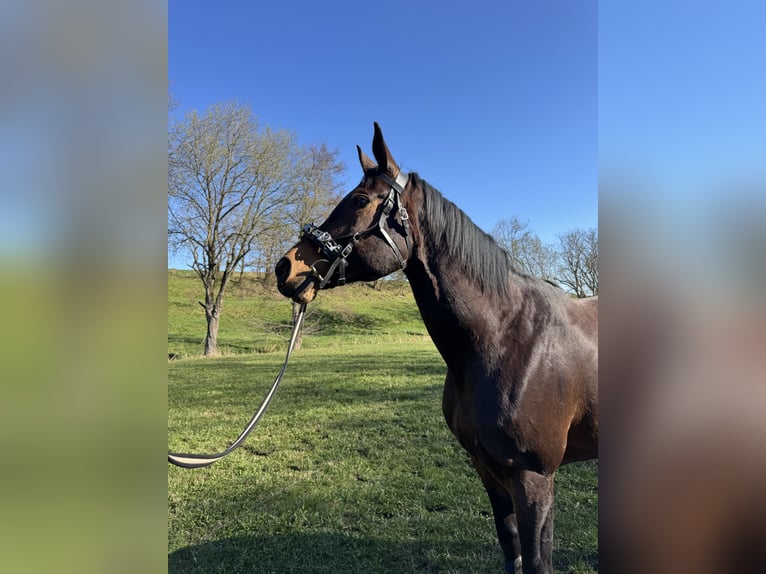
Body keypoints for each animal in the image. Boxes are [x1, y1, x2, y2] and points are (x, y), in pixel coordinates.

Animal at [275, 123, 598, 574]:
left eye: (360, 200)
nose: (286, 267)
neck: (505, 338)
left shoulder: (535, 477)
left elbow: (537, 561)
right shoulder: (489, 472)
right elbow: (512, 551)